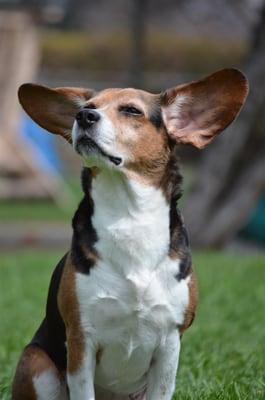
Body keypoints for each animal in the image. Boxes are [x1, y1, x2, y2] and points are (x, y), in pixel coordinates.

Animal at [12, 69, 248, 400]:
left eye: (131, 111)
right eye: (89, 106)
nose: (84, 116)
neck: (129, 217)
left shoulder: (169, 345)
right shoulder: (81, 342)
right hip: (37, 363)